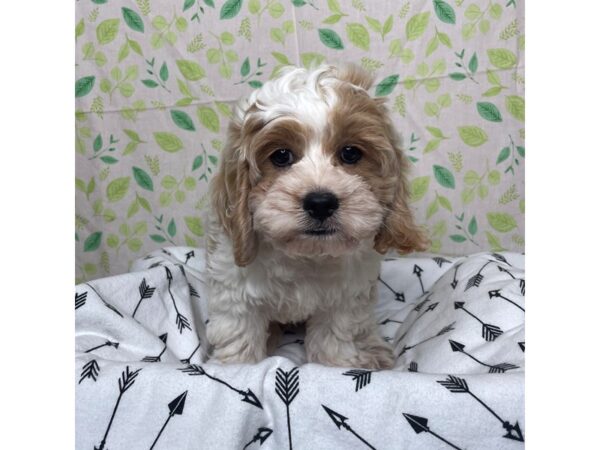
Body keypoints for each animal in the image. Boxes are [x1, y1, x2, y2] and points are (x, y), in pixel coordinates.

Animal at [205, 64, 426, 370]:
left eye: (350, 153)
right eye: (281, 156)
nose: (320, 203)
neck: (305, 256)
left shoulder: (345, 298)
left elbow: (334, 335)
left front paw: (334, 366)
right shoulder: (235, 291)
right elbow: (239, 334)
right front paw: (235, 367)